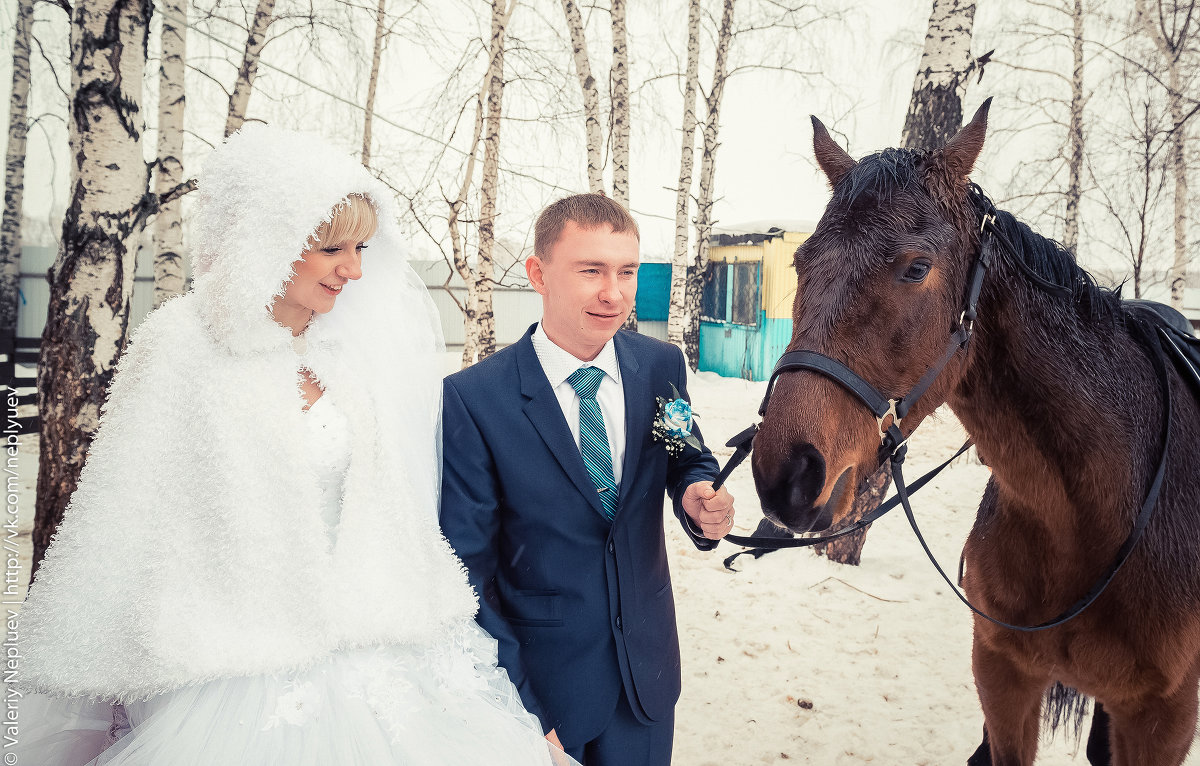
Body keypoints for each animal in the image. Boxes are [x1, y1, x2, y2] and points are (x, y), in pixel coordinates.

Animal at [748, 99, 1200, 763]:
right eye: (802, 264)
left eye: (917, 268)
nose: (787, 472)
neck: (1089, 517)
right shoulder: (1003, 676)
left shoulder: (1162, 718)